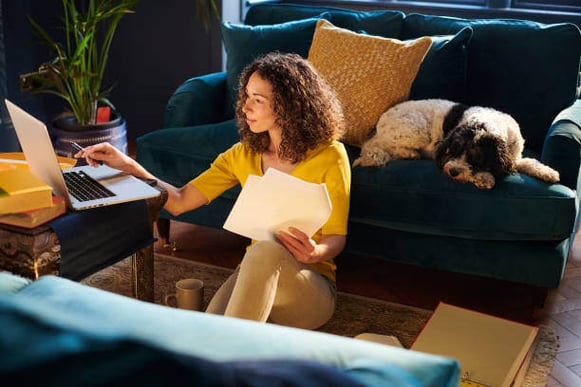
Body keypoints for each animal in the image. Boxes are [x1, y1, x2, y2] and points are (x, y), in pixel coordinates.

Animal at [352, 98, 560, 189]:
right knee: (390, 147)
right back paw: (409, 153)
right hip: (416, 129)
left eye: (475, 158)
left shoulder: (514, 156)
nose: (452, 171)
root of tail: (378, 126)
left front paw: (548, 172)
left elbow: (528, 162)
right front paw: (485, 178)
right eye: (453, 150)